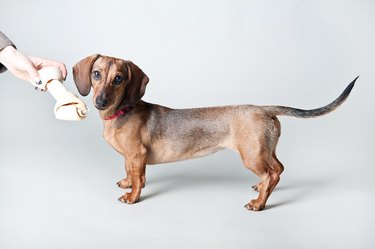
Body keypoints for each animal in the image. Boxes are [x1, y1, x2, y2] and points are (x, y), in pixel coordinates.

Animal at [72, 54, 356, 210]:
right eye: (96, 74)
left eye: (119, 78)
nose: (100, 102)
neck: (120, 113)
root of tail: (264, 108)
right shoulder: (129, 158)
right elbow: (129, 173)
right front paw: (127, 182)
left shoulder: (137, 155)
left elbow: (140, 179)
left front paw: (132, 196)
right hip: (264, 149)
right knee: (278, 169)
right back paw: (260, 189)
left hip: (251, 155)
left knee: (272, 174)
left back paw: (258, 204)